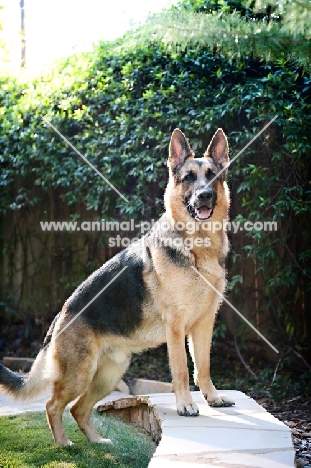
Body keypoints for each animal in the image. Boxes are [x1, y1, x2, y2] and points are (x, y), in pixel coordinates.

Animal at [0, 127, 234, 446]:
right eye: (189, 177)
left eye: (212, 176)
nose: (205, 196)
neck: (199, 245)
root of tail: (60, 315)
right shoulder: (176, 326)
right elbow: (183, 370)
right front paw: (186, 404)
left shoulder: (204, 323)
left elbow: (203, 366)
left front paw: (212, 398)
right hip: (80, 375)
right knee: (53, 405)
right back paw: (64, 444)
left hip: (108, 376)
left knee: (77, 409)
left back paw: (97, 441)